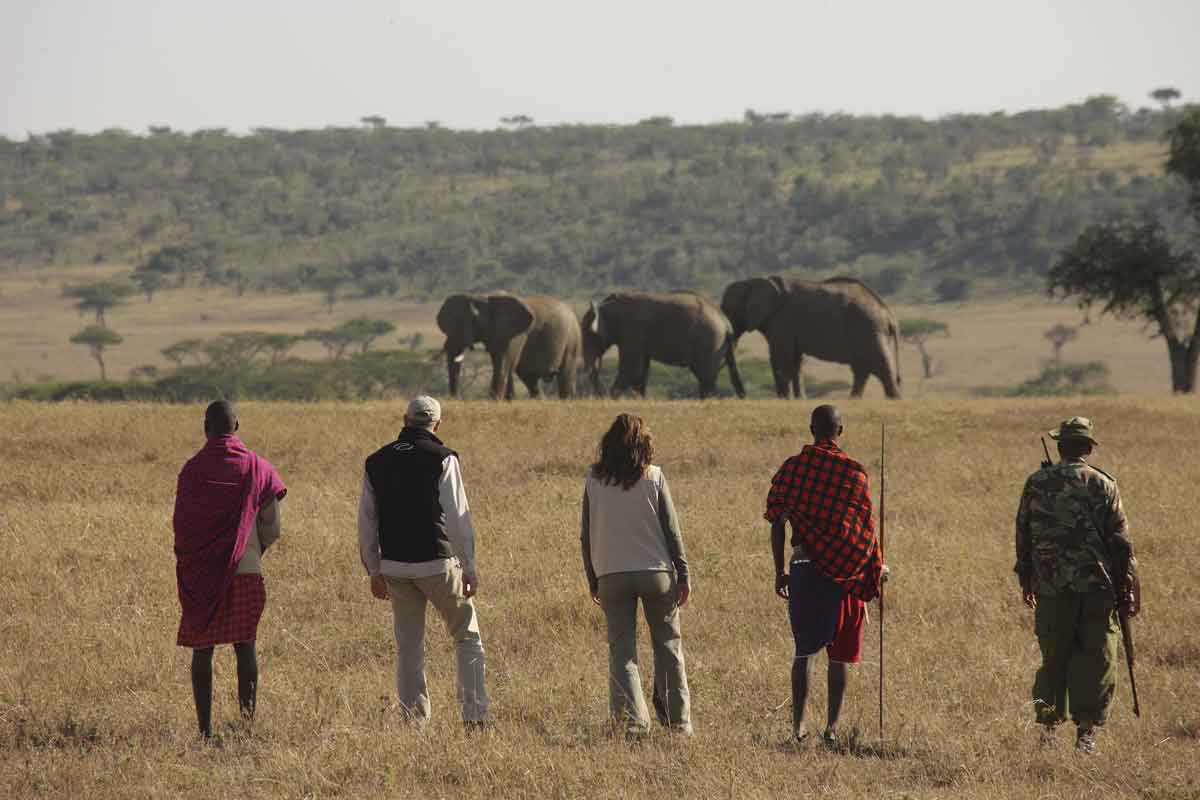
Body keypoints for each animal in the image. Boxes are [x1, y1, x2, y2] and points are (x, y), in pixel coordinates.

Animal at [436, 293, 580, 400]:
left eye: (474, 319)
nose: (456, 398)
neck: (484, 298)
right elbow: (504, 363)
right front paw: (507, 400)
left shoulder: (515, 334)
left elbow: (503, 362)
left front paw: (494, 401)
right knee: (529, 377)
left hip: (572, 338)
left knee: (565, 374)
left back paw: (565, 400)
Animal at [578, 291, 739, 400]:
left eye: (589, 335)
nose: (600, 396)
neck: (606, 306)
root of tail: (726, 322)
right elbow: (641, 370)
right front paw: (639, 399)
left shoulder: (632, 331)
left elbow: (631, 368)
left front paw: (613, 398)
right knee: (705, 377)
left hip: (709, 341)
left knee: (705, 377)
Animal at [720, 277, 902, 398]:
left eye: (729, 310)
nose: (744, 395)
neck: (753, 281)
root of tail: (888, 313)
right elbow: (795, 361)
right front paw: (799, 400)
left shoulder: (783, 321)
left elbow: (780, 359)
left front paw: (784, 400)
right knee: (862, 371)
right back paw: (853, 401)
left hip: (869, 330)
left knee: (881, 369)